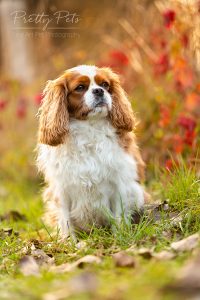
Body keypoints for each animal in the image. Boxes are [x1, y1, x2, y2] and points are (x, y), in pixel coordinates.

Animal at [36, 64, 145, 238]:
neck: (89, 126)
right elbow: (65, 220)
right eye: (80, 87)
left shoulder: (120, 181)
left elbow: (119, 214)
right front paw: (69, 242)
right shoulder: (61, 189)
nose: (99, 91)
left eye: (105, 85)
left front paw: (119, 237)